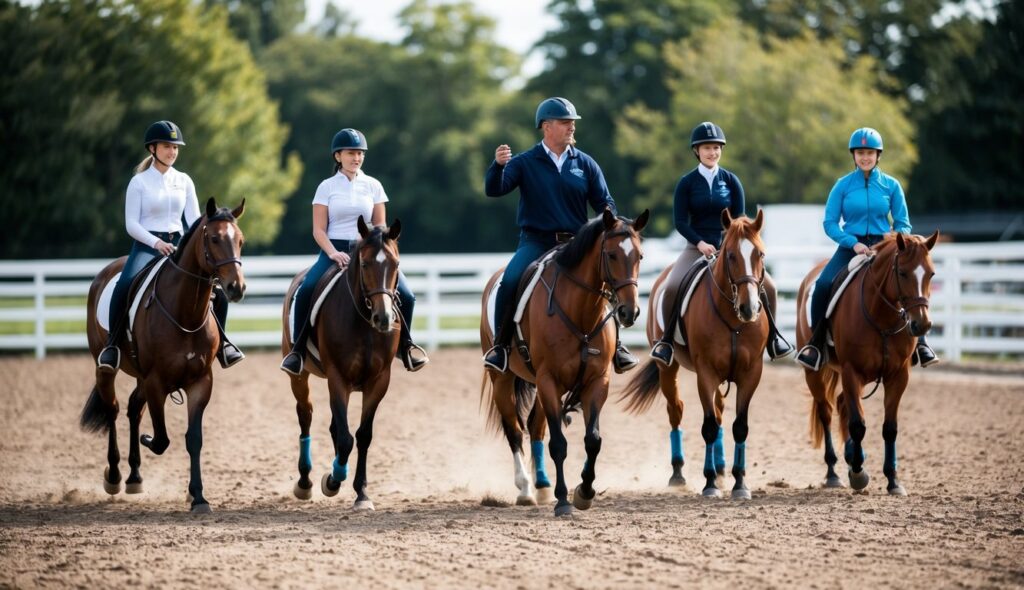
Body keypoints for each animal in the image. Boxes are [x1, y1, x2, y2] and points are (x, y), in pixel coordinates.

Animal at [80, 196, 246, 512]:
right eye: (214, 238)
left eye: (240, 240)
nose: (236, 288)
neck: (185, 312)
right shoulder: (156, 382)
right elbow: (160, 440)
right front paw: (148, 441)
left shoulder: (200, 382)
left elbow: (193, 439)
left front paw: (198, 497)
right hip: (105, 368)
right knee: (114, 409)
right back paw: (115, 476)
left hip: (141, 378)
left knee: (133, 409)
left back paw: (134, 477)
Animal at [284, 214, 407, 510]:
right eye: (364, 264)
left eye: (396, 264)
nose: (384, 318)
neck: (363, 321)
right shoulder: (338, 377)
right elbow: (345, 438)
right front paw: (332, 480)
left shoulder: (378, 381)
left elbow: (362, 436)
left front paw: (361, 493)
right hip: (300, 376)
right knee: (306, 415)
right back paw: (304, 483)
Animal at [479, 208, 647, 516]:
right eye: (612, 255)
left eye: (639, 256)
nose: (629, 312)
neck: (580, 313)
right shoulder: (549, 381)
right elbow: (558, 443)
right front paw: (563, 500)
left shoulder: (597, 381)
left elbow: (593, 440)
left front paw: (584, 492)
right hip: (504, 381)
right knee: (514, 431)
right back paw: (525, 489)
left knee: (535, 427)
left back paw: (542, 485)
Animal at [614, 206, 770, 497]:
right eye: (731, 255)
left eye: (760, 254)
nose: (749, 309)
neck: (733, 321)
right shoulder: (705, 372)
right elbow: (708, 427)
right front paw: (709, 484)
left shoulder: (751, 373)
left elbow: (739, 426)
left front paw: (739, 483)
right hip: (668, 368)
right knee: (676, 410)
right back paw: (678, 474)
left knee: (719, 412)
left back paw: (721, 471)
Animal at [794, 230, 937, 493]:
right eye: (903, 272)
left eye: (931, 273)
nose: (922, 324)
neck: (882, 317)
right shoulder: (852, 371)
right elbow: (858, 425)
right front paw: (859, 474)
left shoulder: (898, 376)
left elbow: (890, 428)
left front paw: (893, 480)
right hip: (815, 374)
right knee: (826, 412)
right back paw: (834, 473)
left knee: (842, 404)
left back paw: (851, 456)